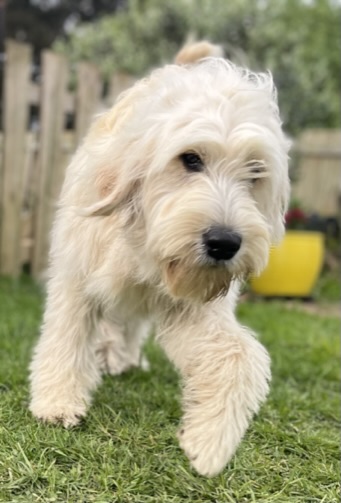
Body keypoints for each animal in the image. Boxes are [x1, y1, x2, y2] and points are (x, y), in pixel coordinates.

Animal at [29, 45, 290, 478]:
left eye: (256, 172)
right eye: (190, 159)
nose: (225, 243)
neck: (146, 242)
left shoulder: (191, 308)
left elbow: (237, 355)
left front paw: (210, 441)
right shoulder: (76, 276)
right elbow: (67, 335)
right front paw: (57, 402)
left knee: (130, 324)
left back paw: (123, 358)